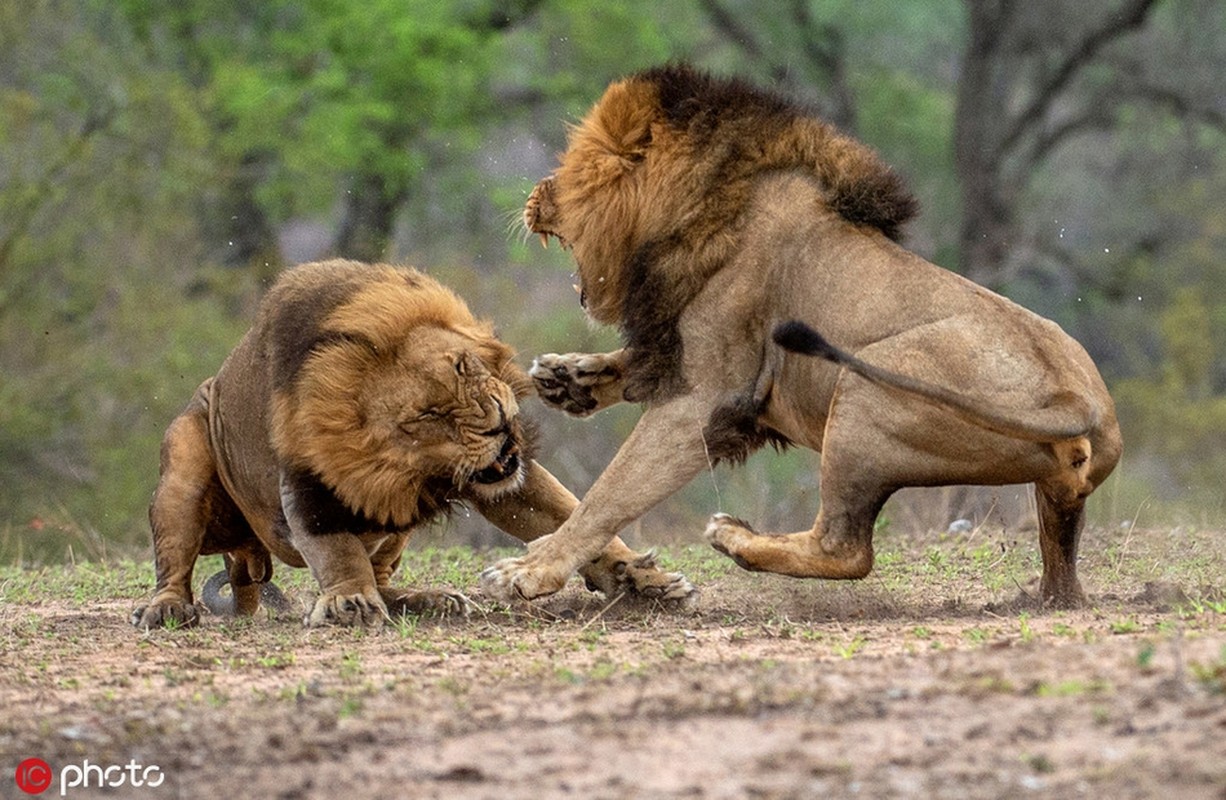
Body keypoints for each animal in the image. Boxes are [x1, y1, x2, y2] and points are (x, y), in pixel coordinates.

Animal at [131, 258, 701, 627]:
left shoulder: (505, 479)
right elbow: (336, 551)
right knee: (174, 557)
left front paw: (641, 581)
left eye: (463, 366)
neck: (419, 471)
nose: (496, 421)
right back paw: (166, 609)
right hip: (186, 461)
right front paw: (349, 602)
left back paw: (432, 600)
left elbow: (568, 514)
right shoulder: (311, 483)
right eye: (429, 415)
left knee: (385, 577)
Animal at [478, 65, 1123, 607]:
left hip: (867, 392)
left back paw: (736, 537)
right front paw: (566, 378)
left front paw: (531, 569)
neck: (695, 208)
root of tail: (1083, 403)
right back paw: (1044, 597)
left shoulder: (709, 396)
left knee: (846, 550)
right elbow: (633, 367)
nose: (533, 195)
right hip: (1053, 493)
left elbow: (610, 492)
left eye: (568, 170)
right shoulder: (678, 351)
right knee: (1062, 575)